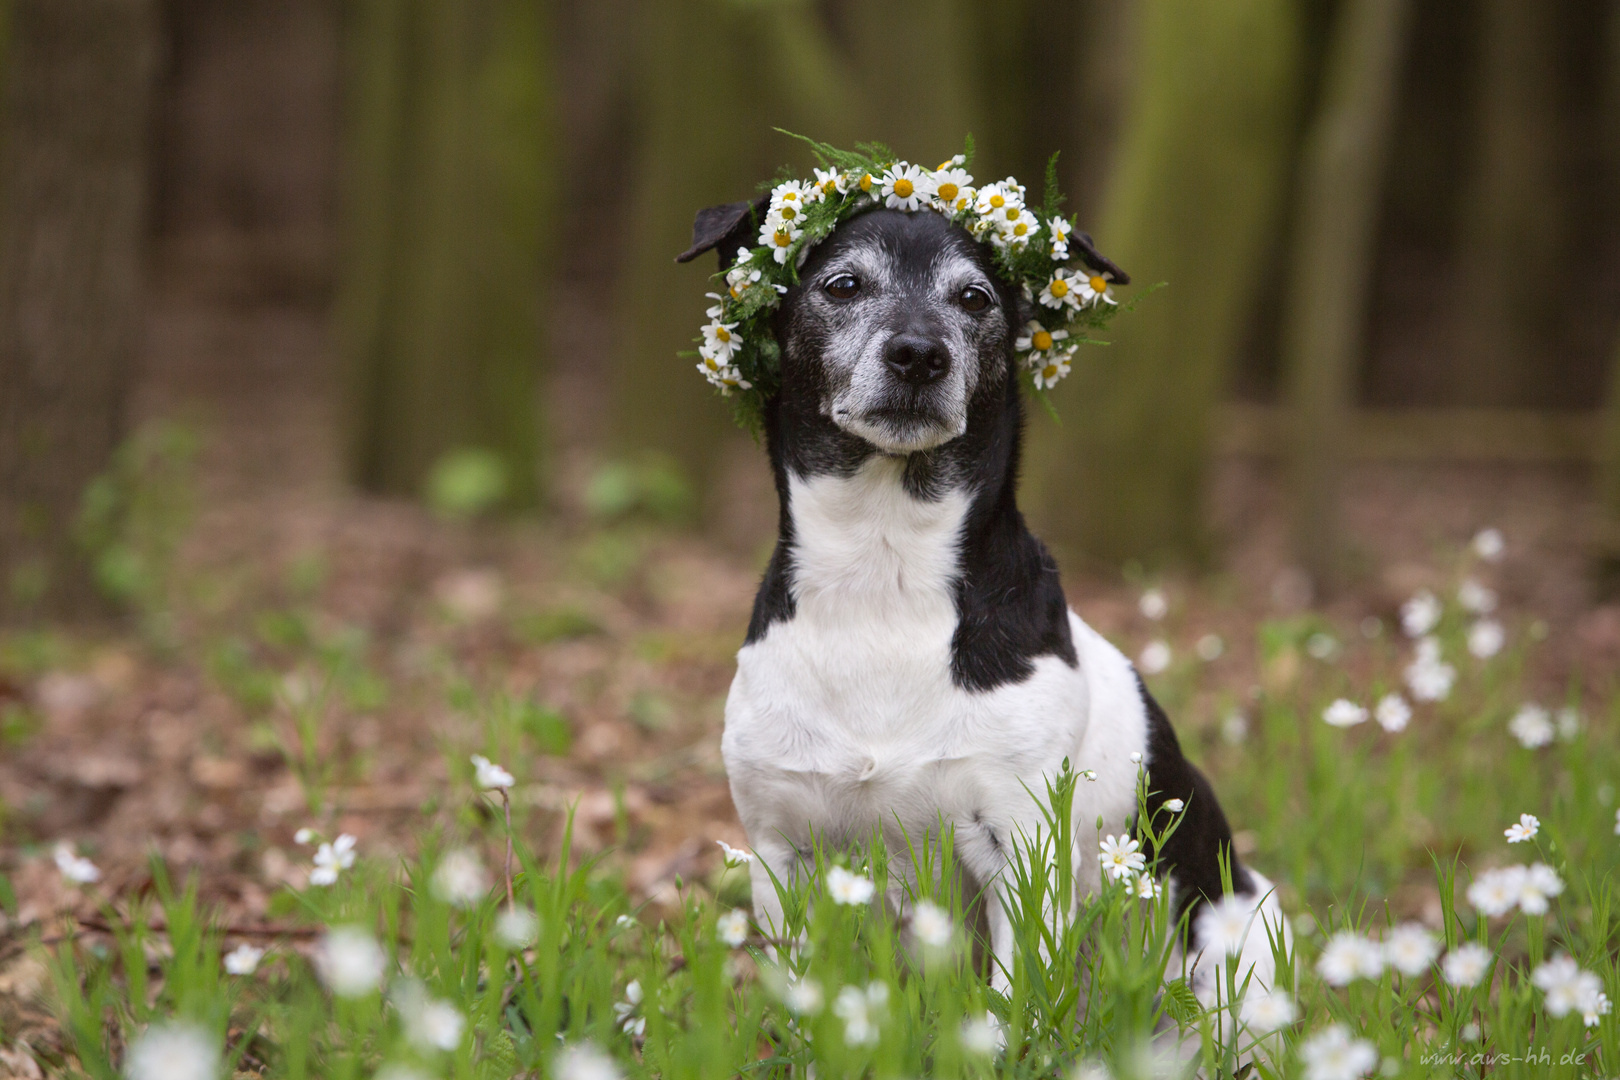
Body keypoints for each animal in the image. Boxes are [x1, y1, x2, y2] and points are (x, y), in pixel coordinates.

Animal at [677, 198, 1283, 1003]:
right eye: (843, 284)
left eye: (974, 298)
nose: (918, 355)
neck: (884, 571)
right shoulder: (783, 851)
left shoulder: (1022, 849)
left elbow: (1007, 1003)